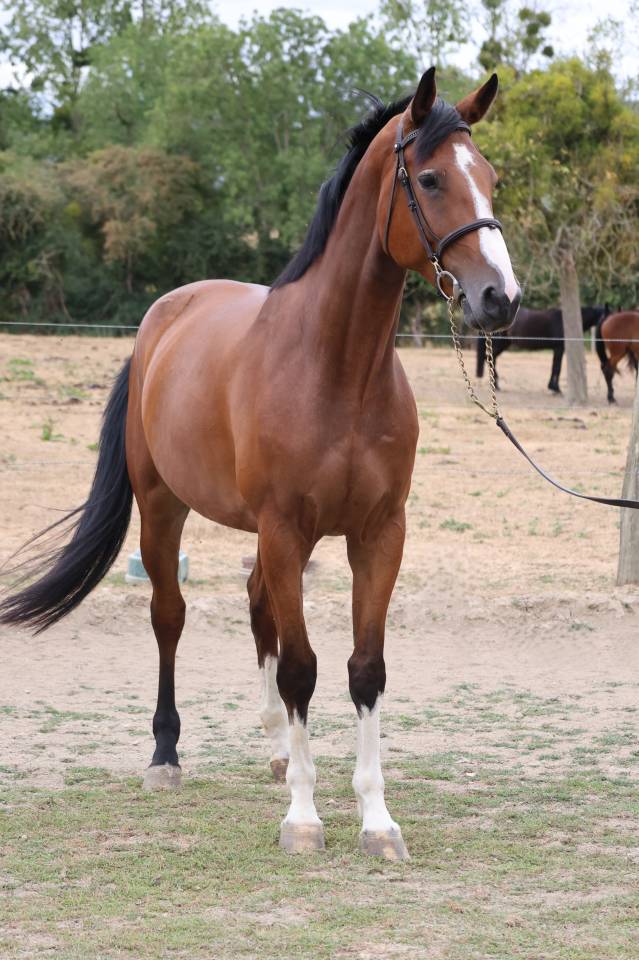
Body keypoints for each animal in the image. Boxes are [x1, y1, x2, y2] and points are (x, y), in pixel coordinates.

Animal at [0, 67, 520, 860]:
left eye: (490, 178)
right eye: (430, 179)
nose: (501, 298)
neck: (337, 368)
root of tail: (160, 322)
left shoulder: (378, 535)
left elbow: (364, 669)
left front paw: (376, 820)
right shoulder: (284, 529)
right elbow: (304, 667)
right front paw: (304, 819)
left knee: (256, 609)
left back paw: (278, 749)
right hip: (166, 509)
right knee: (171, 616)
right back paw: (166, 756)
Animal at [476, 304, 610, 392]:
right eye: (606, 314)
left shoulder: (557, 349)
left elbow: (554, 366)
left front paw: (552, 386)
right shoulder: (559, 348)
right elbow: (557, 367)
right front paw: (556, 389)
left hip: (505, 344)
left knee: (491, 359)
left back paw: (496, 384)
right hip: (501, 343)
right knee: (489, 358)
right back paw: (497, 384)